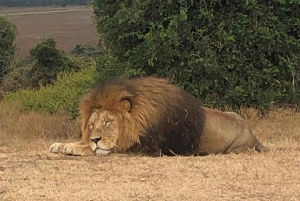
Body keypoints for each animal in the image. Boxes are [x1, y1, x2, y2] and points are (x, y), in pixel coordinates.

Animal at [49, 76, 270, 156]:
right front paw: (61, 144)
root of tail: (253, 133)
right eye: (91, 125)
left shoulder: (146, 147)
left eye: (108, 121)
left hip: (235, 148)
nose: (95, 138)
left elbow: (105, 148)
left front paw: (75, 147)